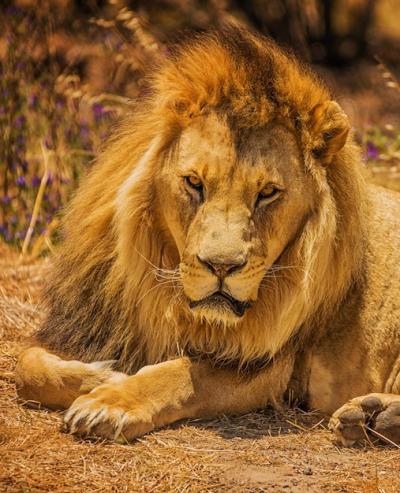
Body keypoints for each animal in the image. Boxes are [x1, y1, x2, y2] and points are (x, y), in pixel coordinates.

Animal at [14, 25, 400, 444]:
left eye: (268, 192)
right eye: (194, 183)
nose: (221, 266)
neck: (159, 296)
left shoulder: (269, 365)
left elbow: (182, 373)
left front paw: (109, 400)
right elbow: (25, 366)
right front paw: (100, 374)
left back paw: (374, 417)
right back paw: (370, 418)